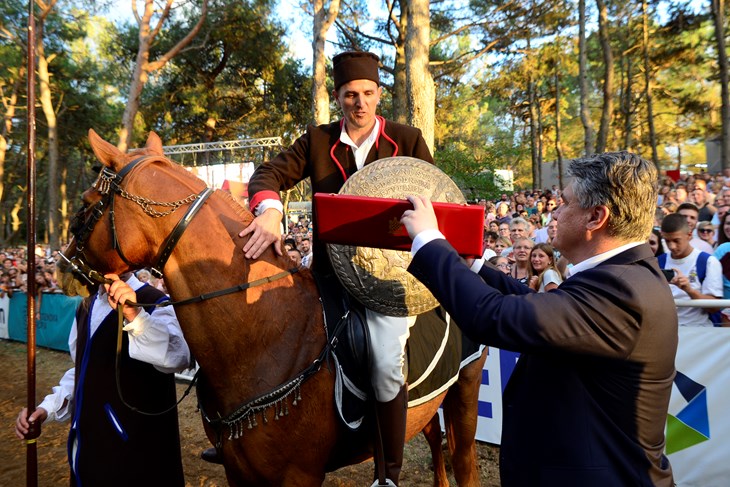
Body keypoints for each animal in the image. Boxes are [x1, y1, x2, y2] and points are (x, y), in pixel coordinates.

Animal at [59, 131, 486, 487]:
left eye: (86, 203)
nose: (64, 267)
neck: (264, 333)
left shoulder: (298, 476)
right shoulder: (238, 471)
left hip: (464, 392)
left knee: (462, 462)